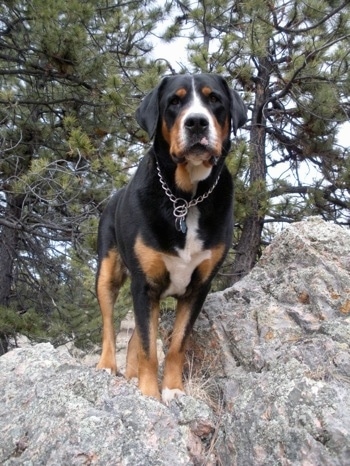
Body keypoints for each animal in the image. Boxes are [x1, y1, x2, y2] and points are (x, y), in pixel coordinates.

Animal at [95, 73, 246, 404]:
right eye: (174, 102)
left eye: (214, 99)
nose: (197, 122)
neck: (185, 199)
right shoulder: (144, 285)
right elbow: (149, 348)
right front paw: (149, 395)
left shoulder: (198, 287)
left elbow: (176, 344)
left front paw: (173, 389)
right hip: (108, 271)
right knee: (109, 324)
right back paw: (107, 365)